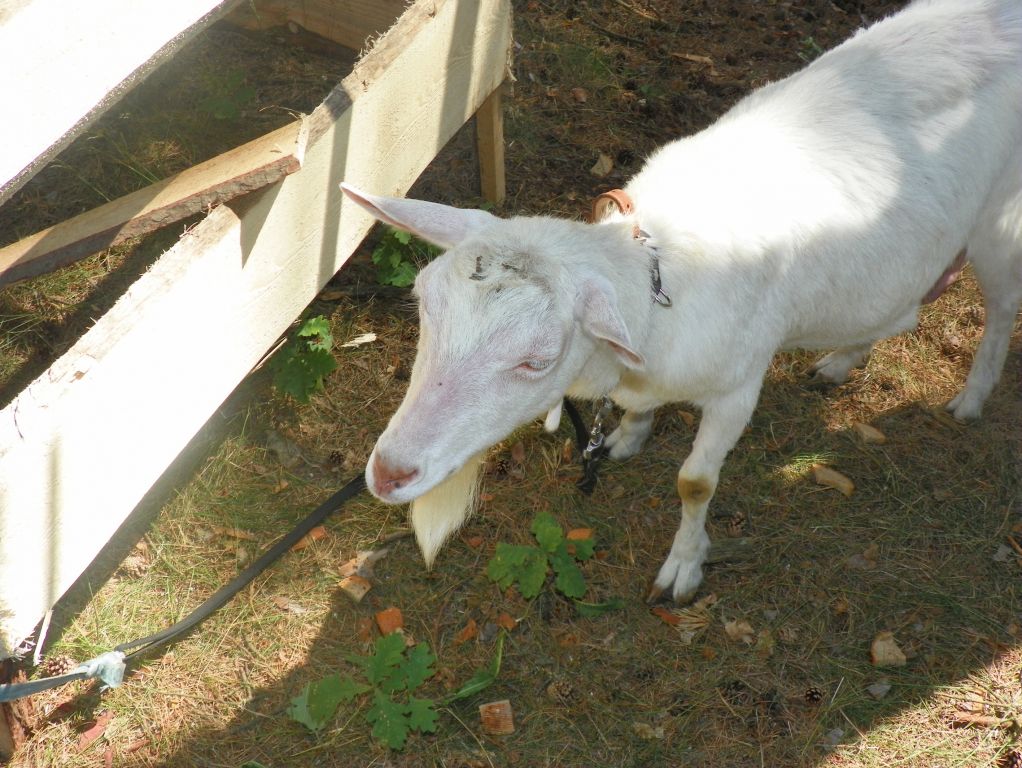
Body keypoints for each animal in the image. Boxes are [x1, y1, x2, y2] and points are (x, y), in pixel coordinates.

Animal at [341, 0, 1022, 601]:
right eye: (423, 307)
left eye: (537, 361)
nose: (388, 473)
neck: (657, 274)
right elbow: (636, 412)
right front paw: (629, 435)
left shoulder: (737, 387)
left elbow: (695, 484)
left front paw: (684, 567)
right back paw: (842, 359)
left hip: (998, 221)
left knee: (1002, 307)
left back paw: (972, 395)